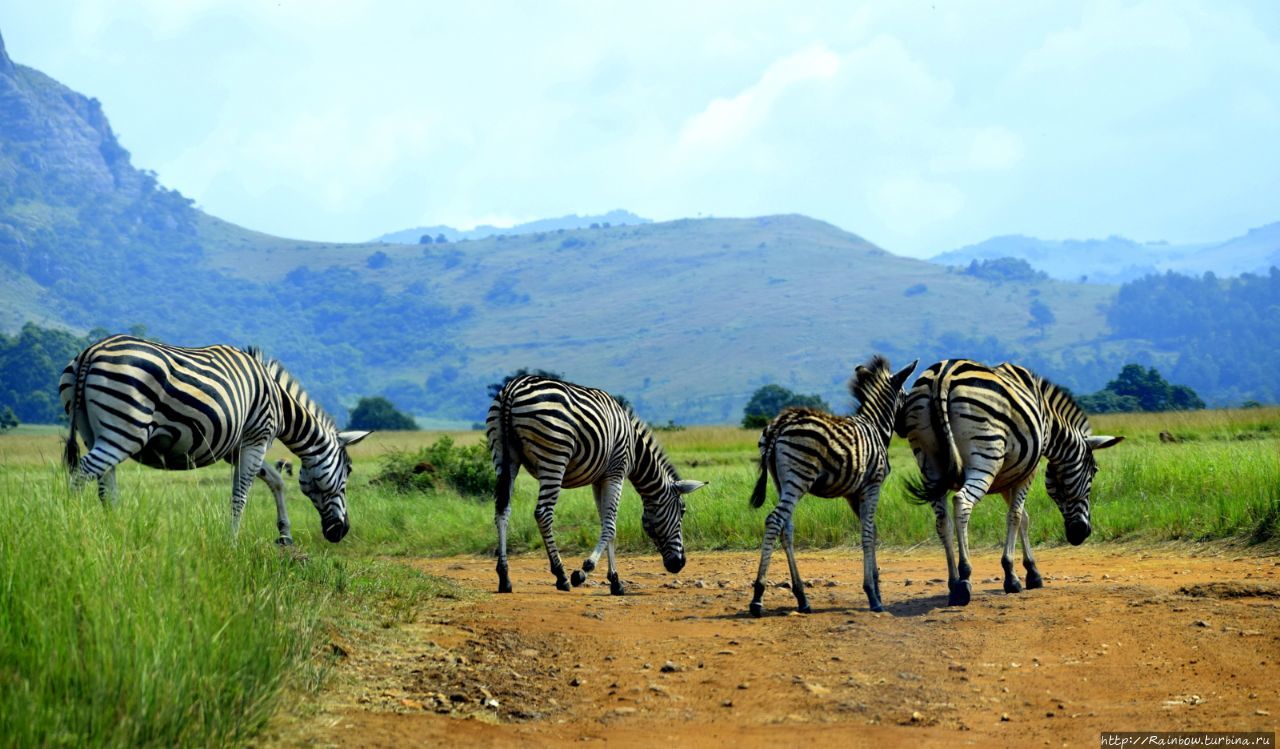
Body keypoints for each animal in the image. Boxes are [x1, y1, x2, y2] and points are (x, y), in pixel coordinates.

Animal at [60, 335, 371, 540]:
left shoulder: (236, 448)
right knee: (82, 473)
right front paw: (231, 542)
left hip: (94, 432)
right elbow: (240, 495)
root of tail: (90, 351)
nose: (341, 532)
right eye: (348, 473)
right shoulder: (257, 438)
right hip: (125, 431)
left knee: (105, 488)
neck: (280, 403)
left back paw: (114, 532)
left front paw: (284, 534)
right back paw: (72, 527)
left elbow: (276, 480)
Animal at [483, 373, 706, 596]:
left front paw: (615, 580)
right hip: (554, 456)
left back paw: (504, 578)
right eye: (682, 511)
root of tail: (513, 388)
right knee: (543, 513)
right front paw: (584, 571)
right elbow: (611, 526)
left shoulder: (599, 479)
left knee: (502, 510)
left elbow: (604, 522)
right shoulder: (616, 473)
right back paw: (561, 575)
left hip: (504, 456)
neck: (635, 450)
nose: (679, 564)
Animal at [747, 355, 921, 614]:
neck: (875, 425)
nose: (905, 429)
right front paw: (873, 595)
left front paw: (877, 587)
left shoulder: (853, 493)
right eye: (906, 397)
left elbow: (872, 530)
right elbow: (867, 533)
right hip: (799, 477)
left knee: (786, 529)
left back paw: (802, 598)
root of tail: (779, 424)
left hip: (782, 482)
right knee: (774, 521)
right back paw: (758, 596)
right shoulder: (873, 485)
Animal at [896, 358, 1126, 604]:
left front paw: (1032, 572)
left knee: (942, 521)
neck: (1048, 422)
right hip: (985, 457)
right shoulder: (1027, 471)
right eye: (1094, 471)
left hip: (929, 465)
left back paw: (953, 582)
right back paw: (964, 580)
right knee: (962, 502)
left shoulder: (1008, 475)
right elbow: (1015, 516)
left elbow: (1023, 517)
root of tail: (943, 375)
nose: (1080, 534)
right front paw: (1012, 577)